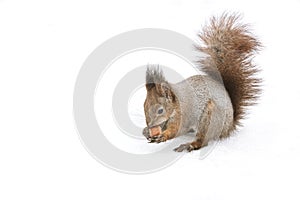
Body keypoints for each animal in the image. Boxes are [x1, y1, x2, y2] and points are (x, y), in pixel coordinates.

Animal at [142, 12, 262, 152]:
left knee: (202, 141)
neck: (176, 104)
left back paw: (189, 145)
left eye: (160, 110)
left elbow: (176, 130)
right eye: (144, 106)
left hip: (210, 118)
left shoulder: (184, 115)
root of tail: (230, 125)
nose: (150, 125)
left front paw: (162, 136)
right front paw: (145, 132)